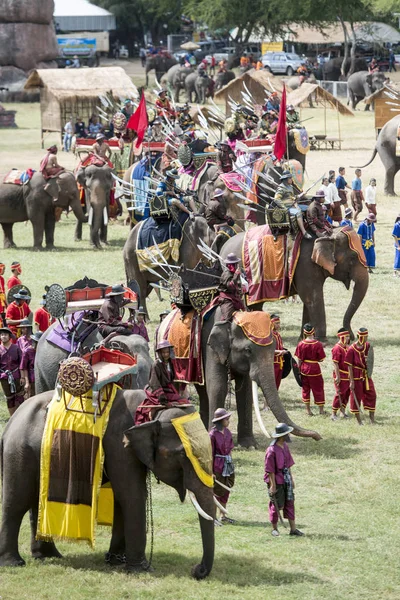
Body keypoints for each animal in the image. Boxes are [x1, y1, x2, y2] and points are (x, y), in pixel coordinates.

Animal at [0, 394, 216, 576]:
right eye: (182, 455)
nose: (197, 570)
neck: (151, 408)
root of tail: (10, 423)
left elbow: (122, 498)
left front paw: (116, 561)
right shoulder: (119, 445)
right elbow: (132, 495)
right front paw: (141, 569)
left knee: (36, 501)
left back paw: (48, 556)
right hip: (19, 451)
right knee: (16, 502)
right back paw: (14, 563)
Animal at [219, 227, 368, 342]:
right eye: (353, 258)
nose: (352, 336)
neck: (328, 233)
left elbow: (308, 302)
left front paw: (304, 338)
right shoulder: (305, 265)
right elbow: (313, 298)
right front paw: (322, 341)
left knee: (255, 305)